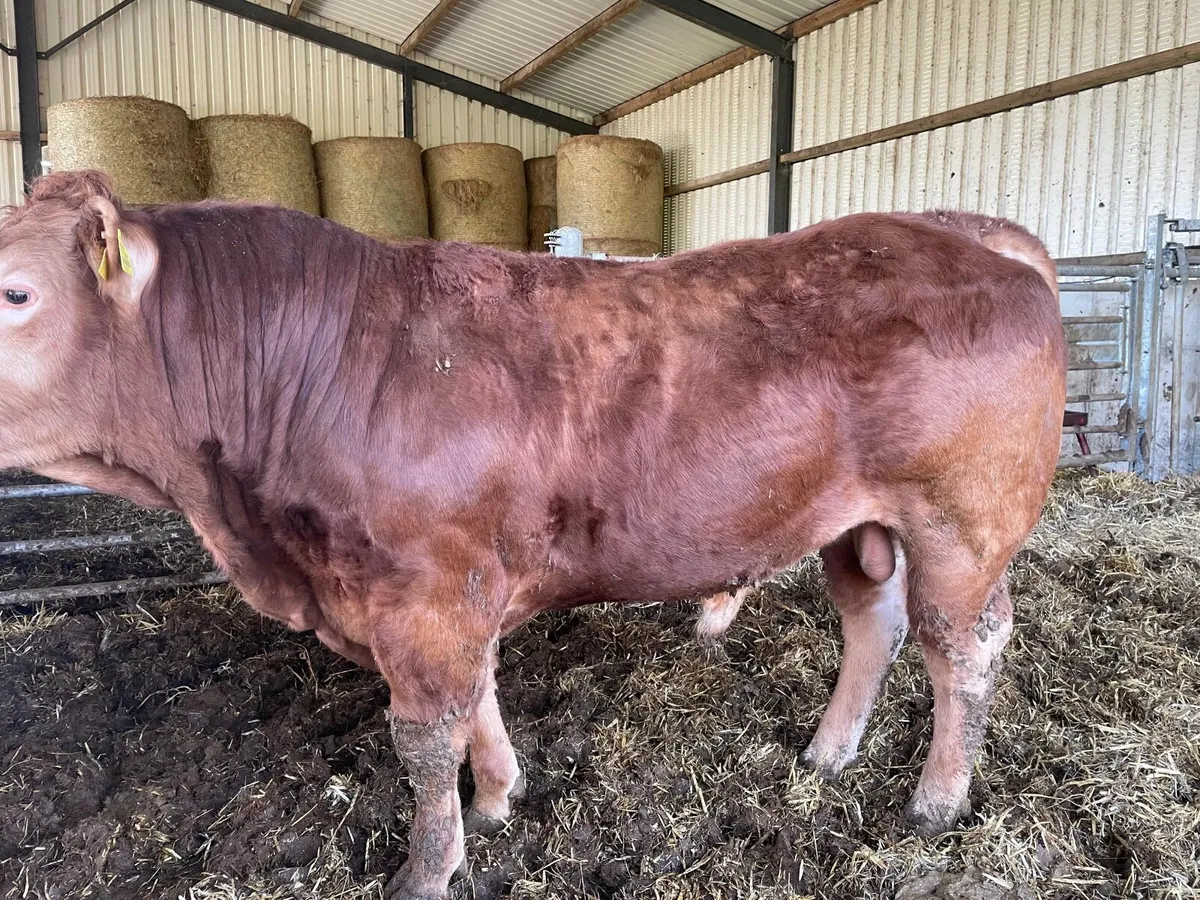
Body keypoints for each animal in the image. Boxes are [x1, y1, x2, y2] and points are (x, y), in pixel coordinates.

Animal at [0, 171, 1066, 900]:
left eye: (15, 291)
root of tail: (966, 228)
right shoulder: (451, 591)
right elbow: (477, 702)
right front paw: (500, 796)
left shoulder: (426, 591)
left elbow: (425, 738)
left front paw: (429, 868)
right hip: (858, 522)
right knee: (872, 622)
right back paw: (828, 754)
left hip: (962, 525)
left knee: (963, 648)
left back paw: (936, 799)